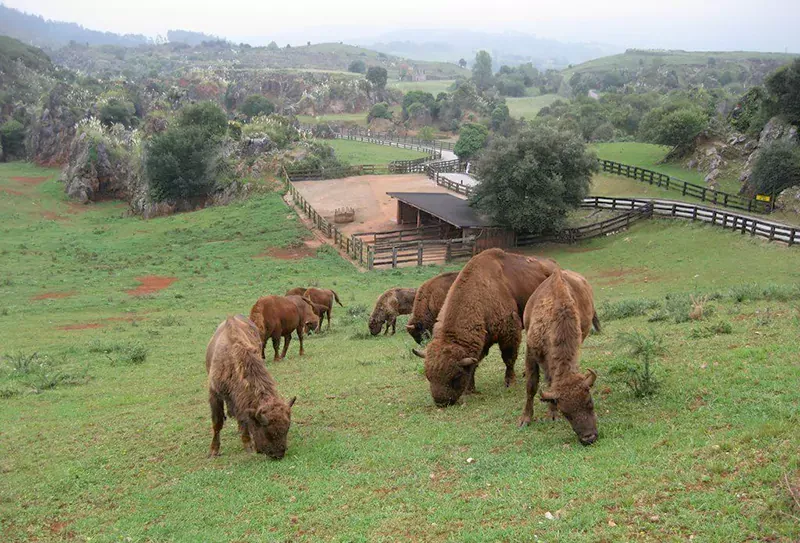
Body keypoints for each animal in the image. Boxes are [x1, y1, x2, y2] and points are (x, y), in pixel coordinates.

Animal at [205, 314, 296, 460]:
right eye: (266, 431)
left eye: (287, 429)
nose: (278, 454)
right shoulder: (214, 394)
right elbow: (217, 422)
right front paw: (213, 451)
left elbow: (244, 420)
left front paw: (248, 444)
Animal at [416, 249, 560, 406]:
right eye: (428, 376)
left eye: (456, 376)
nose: (441, 402)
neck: (481, 291)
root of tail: (554, 266)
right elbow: (474, 363)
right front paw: (470, 389)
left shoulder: (509, 332)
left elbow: (508, 358)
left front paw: (510, 383)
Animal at [520, 268, 600, 446]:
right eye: (566, 413)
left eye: (589, 402)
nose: (589, 438)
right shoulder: (531, 352)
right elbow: (531, 385)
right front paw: (525, 419)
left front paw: (552, 414)